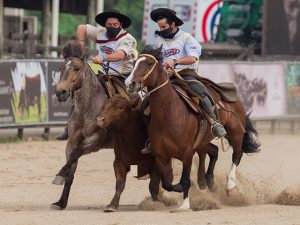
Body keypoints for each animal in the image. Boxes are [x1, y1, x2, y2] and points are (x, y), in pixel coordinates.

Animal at [125, 45, 260, 211]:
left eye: (149, 63)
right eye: (135, 62)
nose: (130, 84)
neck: (169, 112)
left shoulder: (187, 152)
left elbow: (185, 180)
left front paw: (184, 205)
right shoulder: (161, 155)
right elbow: (168, 183)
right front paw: (185, 188)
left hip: (235, 132)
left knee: (237, 155)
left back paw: (230, 186)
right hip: (202, 142)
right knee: (214, 151)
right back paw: (208, 181)